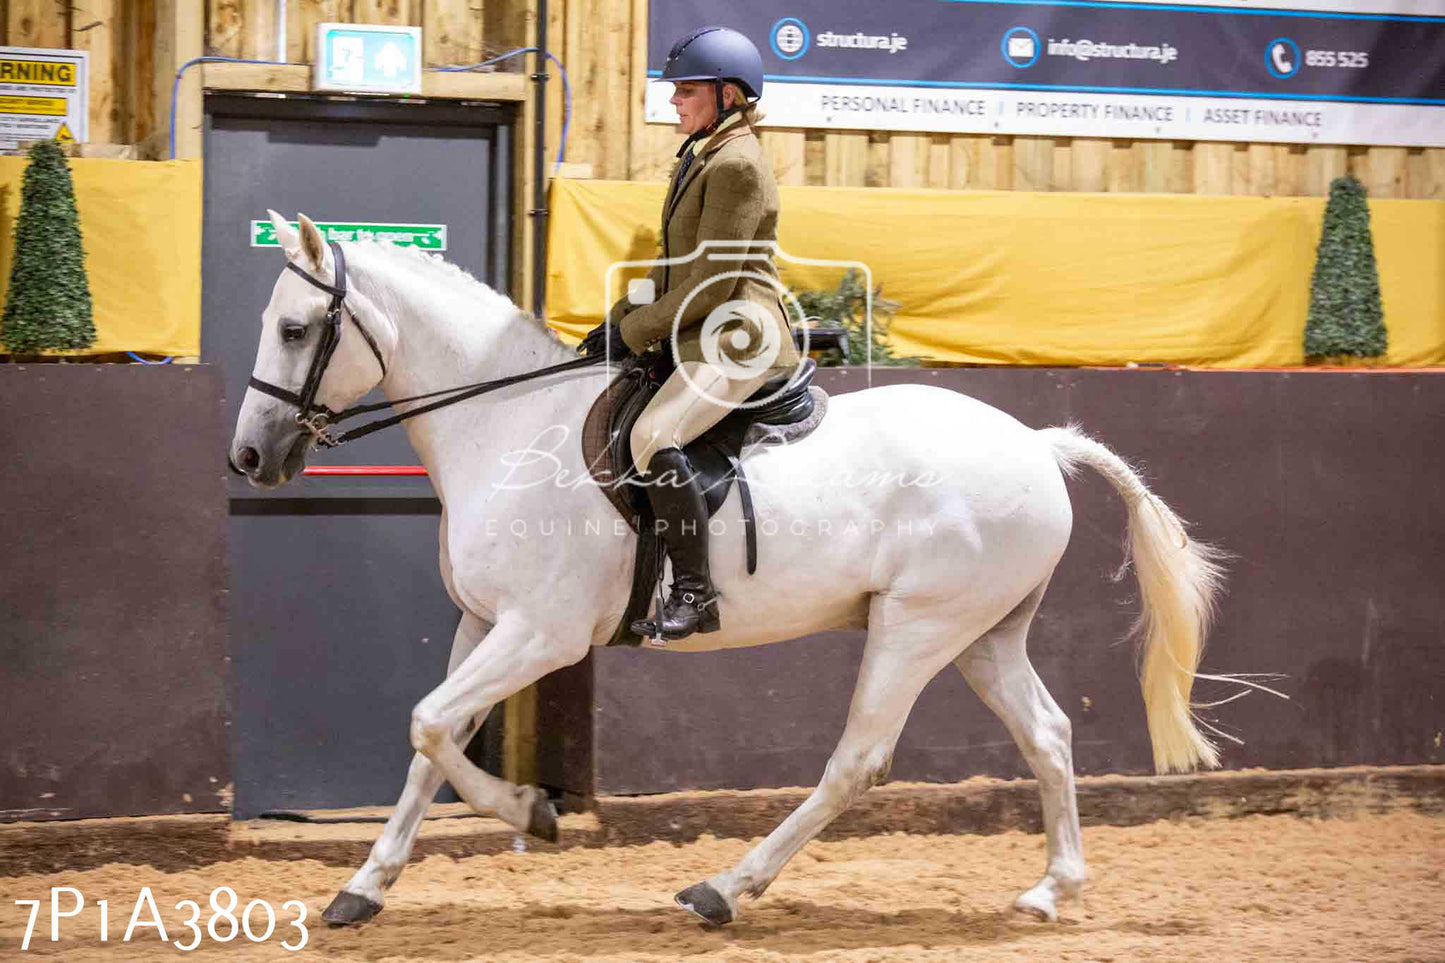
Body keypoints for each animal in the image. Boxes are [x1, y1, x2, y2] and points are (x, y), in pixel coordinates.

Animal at [236, 212, 1231, 925]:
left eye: (294, 328)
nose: (249, 457)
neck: (506, 424)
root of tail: (1037, 442)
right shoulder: (483, 622)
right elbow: (429, 739)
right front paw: (364, 887)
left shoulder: (541, 633)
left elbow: (430, 723)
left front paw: (531, 812)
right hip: (984, 632)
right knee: (1048, 736)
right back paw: (1050, 889)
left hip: (916, 626)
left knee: (857, 760)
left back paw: (722, 888)